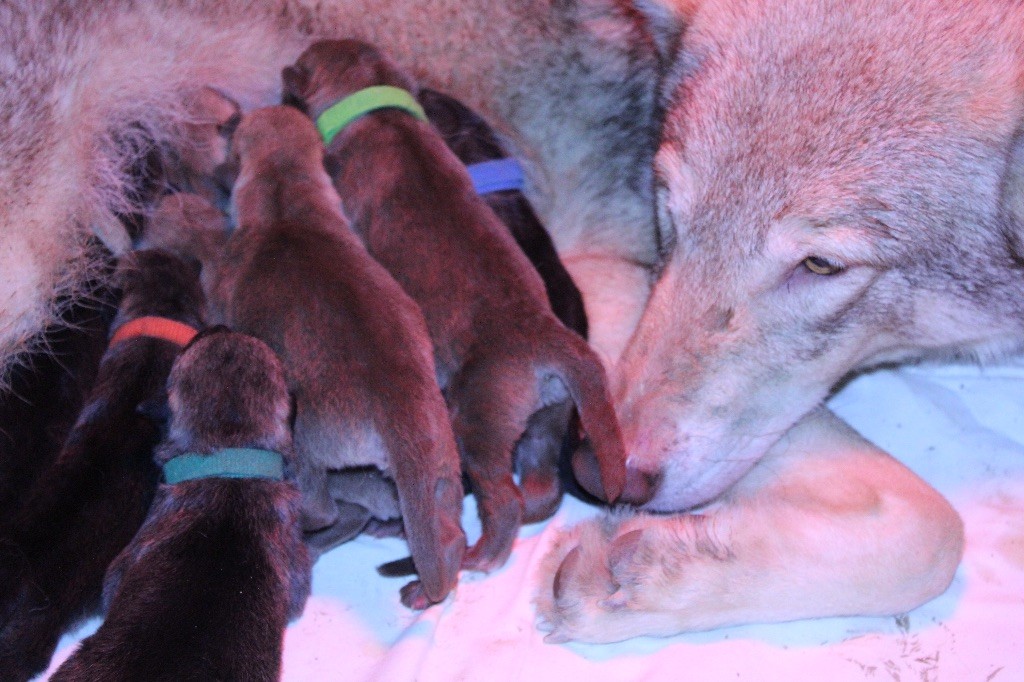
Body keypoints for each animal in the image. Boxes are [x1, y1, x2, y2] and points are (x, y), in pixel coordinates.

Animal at [210, 106, 464, 606]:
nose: (225, 121)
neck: (283, 198)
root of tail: (398, 412)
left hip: (305, 440)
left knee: (320, 507)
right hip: (442, 468)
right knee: (449, 536)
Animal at [284, 38, 626, 569]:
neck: (382, 114)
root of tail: (550, 337)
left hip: (477, 426)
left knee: (503, 503)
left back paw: (474, 558)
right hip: (547, 422)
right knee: (541, 490)